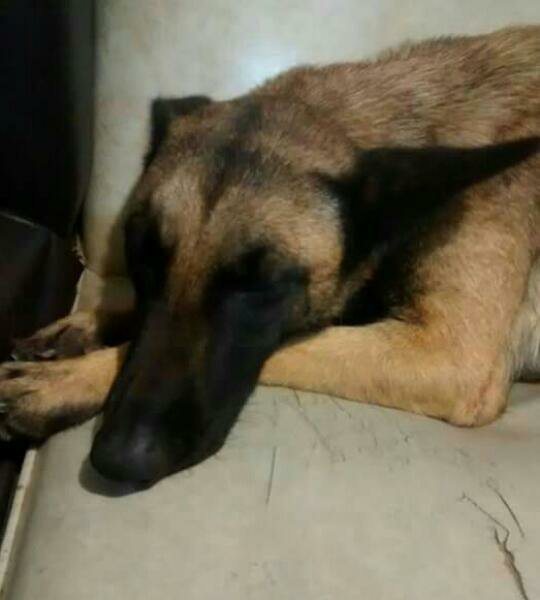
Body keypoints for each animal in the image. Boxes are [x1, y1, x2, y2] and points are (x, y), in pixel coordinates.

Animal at [0, 25, 539, 488]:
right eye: (144, 255)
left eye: (261, 286)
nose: (119, 460)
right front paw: (89, 327)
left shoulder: (449, 356)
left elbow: (297, 345)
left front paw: (64, 383)